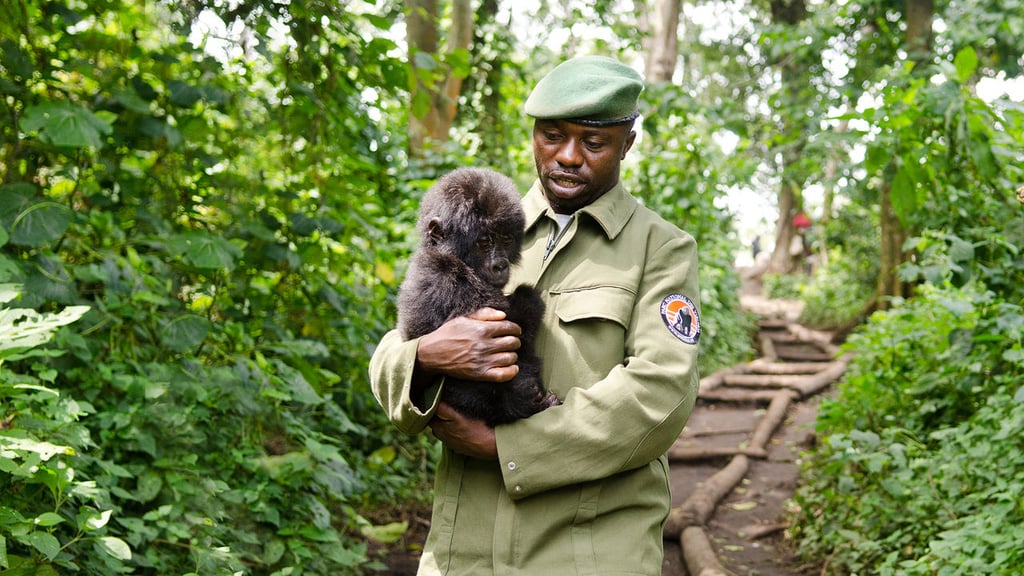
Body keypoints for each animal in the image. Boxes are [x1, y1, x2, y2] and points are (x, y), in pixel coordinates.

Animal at [397, 166, 557, 426]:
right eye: (484, 241)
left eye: (506, 239)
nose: (500, 265)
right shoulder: (447, 278)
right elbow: (514, 326)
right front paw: (527, 296)